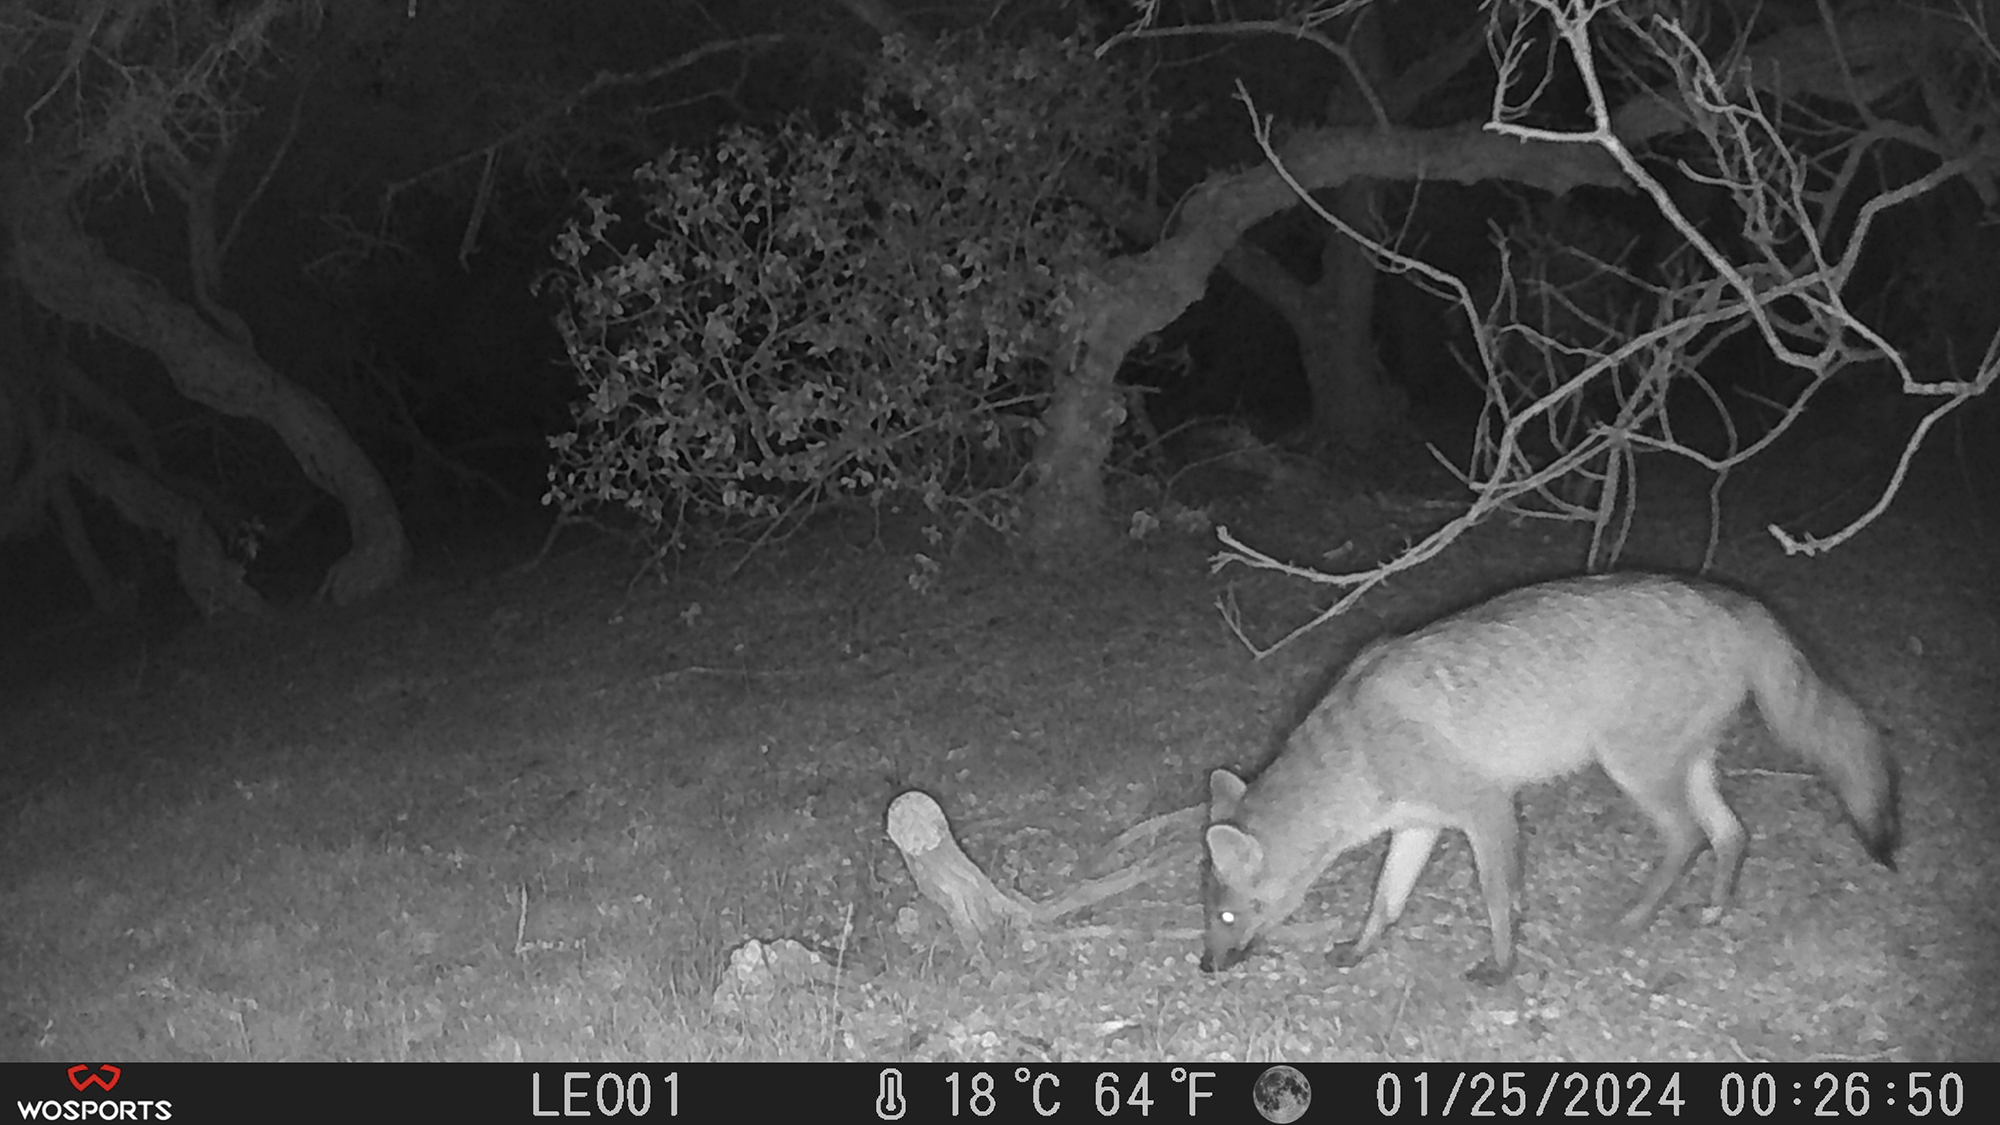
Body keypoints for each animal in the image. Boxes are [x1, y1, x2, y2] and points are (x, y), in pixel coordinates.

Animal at [1201, 572, 1898, 985]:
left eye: (1229, 917)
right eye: (1210, 915)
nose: (1206, 966)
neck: (1357, 748)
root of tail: (1735, 601)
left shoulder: (1486, 809)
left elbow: (1497, 898)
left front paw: (1502, 966)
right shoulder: (1418, 827)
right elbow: (1384, 901)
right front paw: (1357, 951)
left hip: (1635, 772)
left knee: (1690, 838)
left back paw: (1632, 920)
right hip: (1686, 770)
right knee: (1732, 834)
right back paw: (1711, 911)